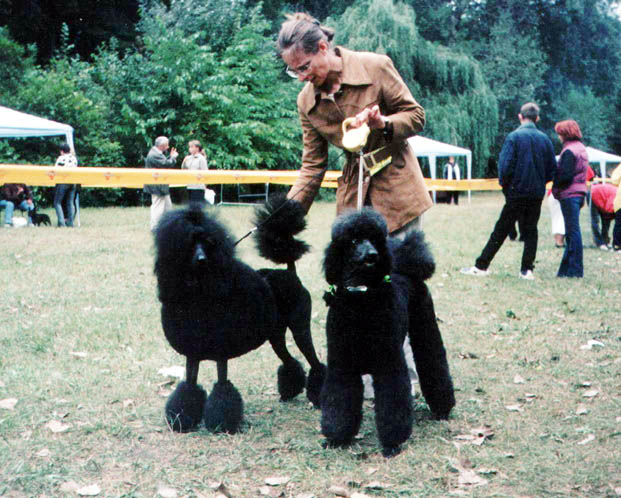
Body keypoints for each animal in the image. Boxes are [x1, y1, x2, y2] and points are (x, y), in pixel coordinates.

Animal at [154, 194, 326, 433]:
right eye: (188, 244)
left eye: (208, 242)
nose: (201, 259)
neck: (200, 293)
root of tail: (291, 274)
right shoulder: (193, 353)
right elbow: (189, 385)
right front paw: (182, 420)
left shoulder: (221, 353)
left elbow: (222, 387)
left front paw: (221, 425)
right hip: (276, 335)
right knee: (289, 360)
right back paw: (288, 394)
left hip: (300, 326)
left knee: (314, 361)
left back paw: (319, 399)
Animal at [320, 209, 455, 457]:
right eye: (353, 241)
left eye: (375, 239)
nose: (372, 256)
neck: (361, 299)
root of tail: (406, 270)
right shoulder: (342, 362)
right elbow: (340, 399)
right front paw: (337, 438)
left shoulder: (388, 361)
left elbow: (393, 400)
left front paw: (392, 443)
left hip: (425, 326)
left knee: (434, 360)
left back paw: (443, 408)